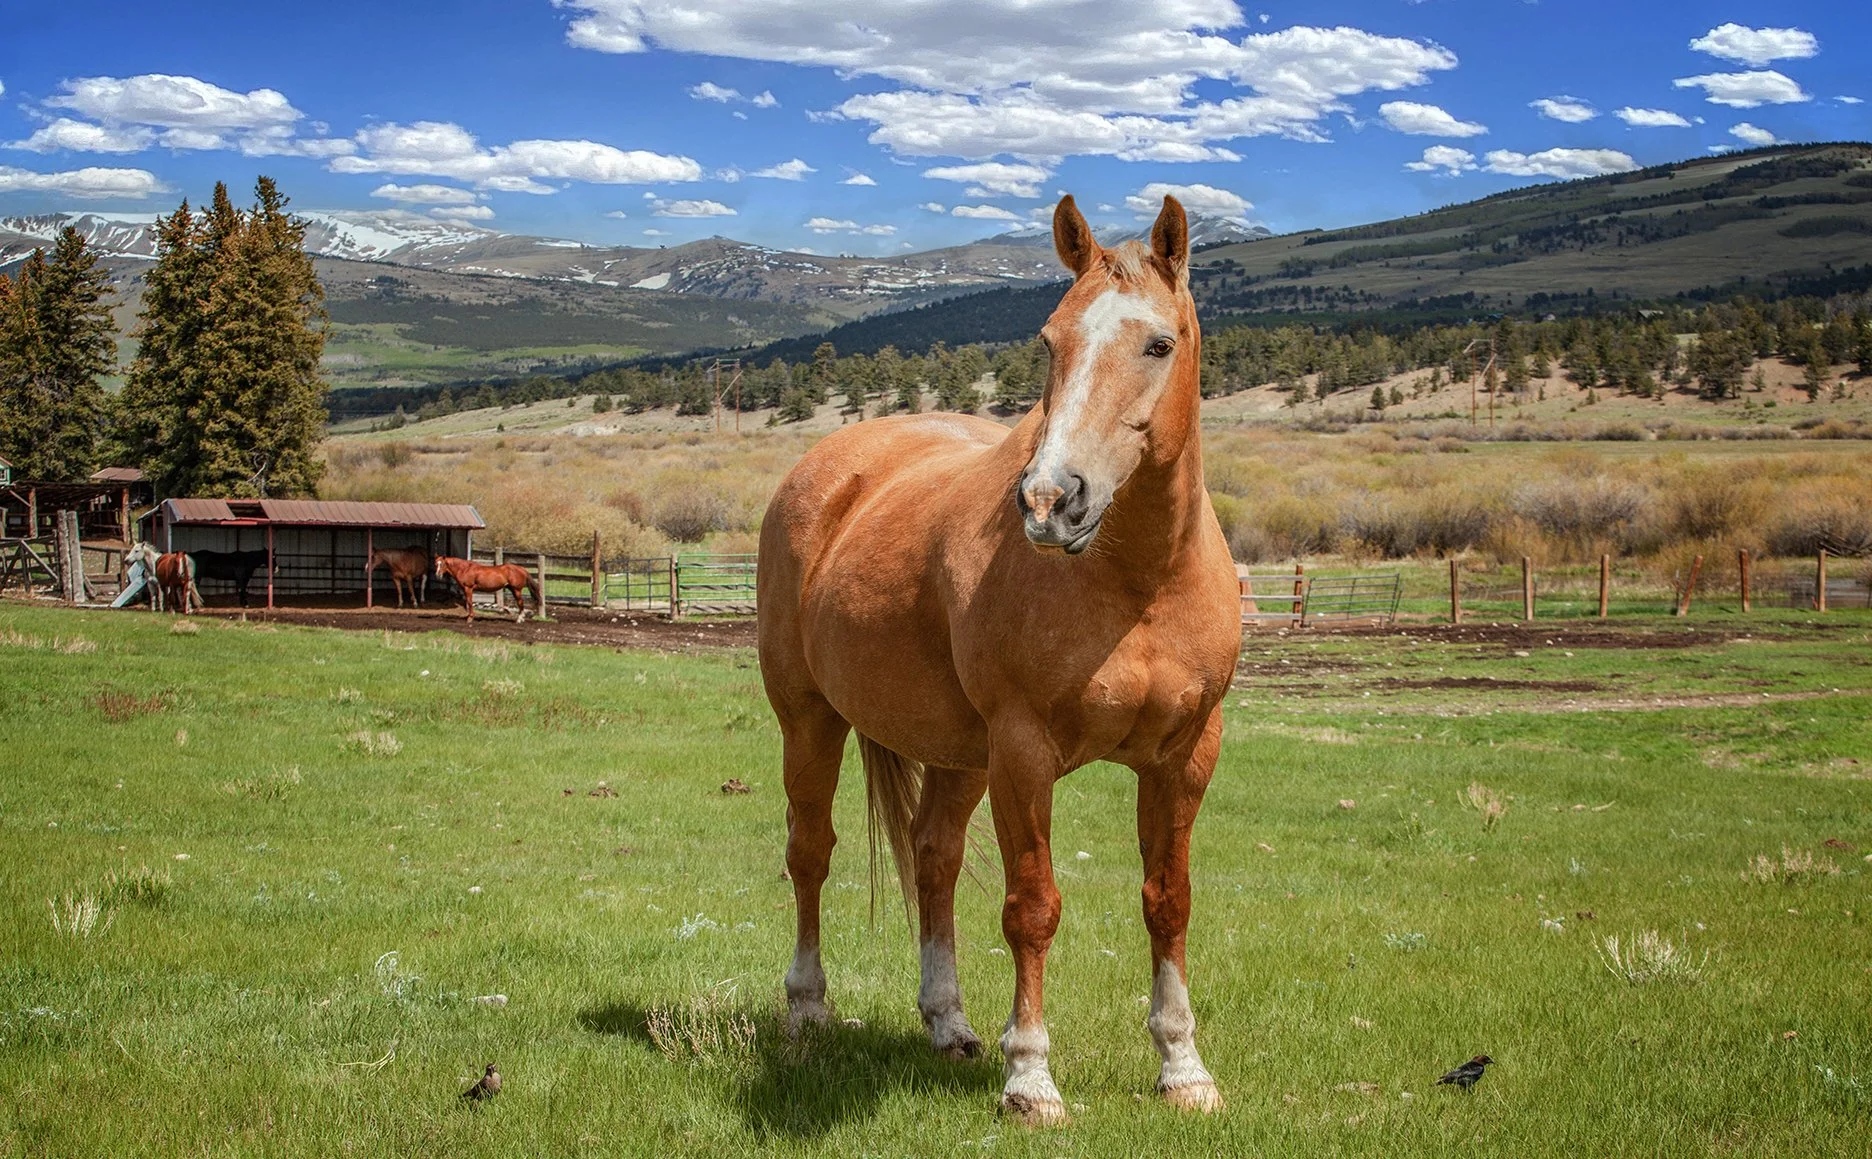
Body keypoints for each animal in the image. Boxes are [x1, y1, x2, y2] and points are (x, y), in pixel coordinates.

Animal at [757, 194, 1241, 1125]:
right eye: (1050, 341)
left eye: (1159, 344)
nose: (1052, 500)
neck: (1139, 583)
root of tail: (831, 467)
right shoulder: (1024, 752)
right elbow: (1033, 909)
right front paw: (1031, 1079)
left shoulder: (1187, 754)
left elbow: (1169, 902)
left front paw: (1184, 1067)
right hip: (810, 721)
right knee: (810, 853)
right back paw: (807, 1007)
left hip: (957, 754)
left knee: (934, 857)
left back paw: (948, 1023)